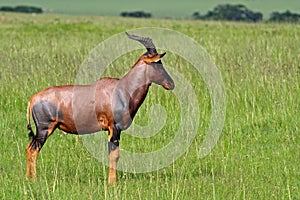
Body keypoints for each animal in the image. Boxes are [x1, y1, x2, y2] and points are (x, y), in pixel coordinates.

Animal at [26, 32, 176, 184]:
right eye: (158, 63)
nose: (171, 84)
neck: (122, 89)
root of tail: (33, 98)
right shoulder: (114, 128)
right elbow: (114, 155)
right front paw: (112, 183)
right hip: (45, 129)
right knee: (33, 150)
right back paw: (34, 179)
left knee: (28, 148)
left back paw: (28, 178)